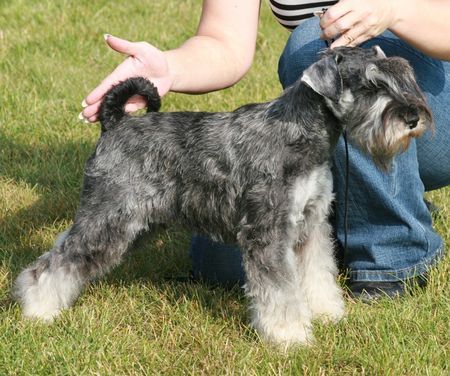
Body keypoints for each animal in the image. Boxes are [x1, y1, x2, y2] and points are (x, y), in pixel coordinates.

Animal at [14, 46, 432, 346]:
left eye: (401, 75)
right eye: (370, 87)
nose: (413, 117)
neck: (301, 133)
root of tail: (114, 123)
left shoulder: (311, 226)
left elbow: (317, 274)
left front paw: (328, 314)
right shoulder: (268, 233)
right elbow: (280, 290)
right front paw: (290, 336)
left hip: (133, 223)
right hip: (109, 218)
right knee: (54, 262)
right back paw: (37, 310)